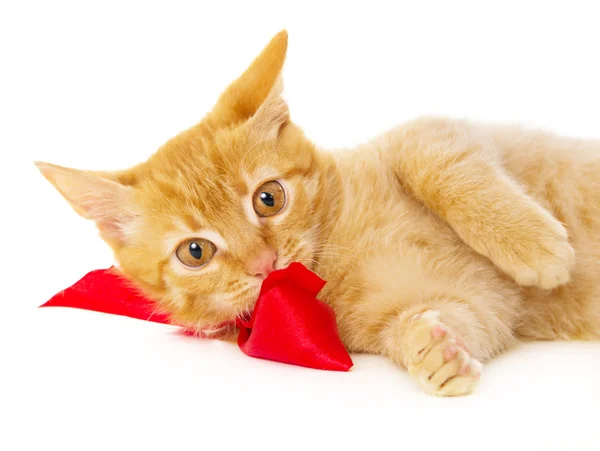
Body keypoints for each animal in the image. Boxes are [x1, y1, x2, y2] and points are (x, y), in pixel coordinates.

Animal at [36, 30, 600, 396]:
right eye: (195, 252)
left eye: (269, 198)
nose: (263, 263)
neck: (335, 253)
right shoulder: (477, 305)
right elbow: (458, 318)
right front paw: (432, 351)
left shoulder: (436, 133)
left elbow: (441, 164)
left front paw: (535, 245)